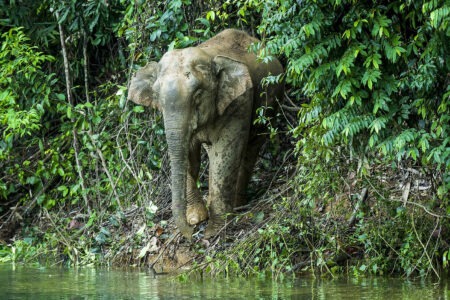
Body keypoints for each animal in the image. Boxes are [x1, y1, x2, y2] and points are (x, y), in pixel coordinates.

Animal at [127, 28, 282, 239]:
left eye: (198, 94)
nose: (191, 235)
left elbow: (225, 154)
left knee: (250, 148)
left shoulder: (239, 101)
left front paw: (214, 230)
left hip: (270, 105)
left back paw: (237, 205)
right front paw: (196, 218)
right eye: (157, 97)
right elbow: (189, 155)